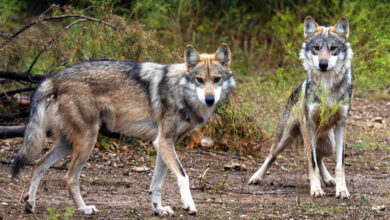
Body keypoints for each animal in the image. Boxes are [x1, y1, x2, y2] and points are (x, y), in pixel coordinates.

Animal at [12, 43, 236, 216]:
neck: (180, 91)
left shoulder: (164, 144)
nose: (210, 99)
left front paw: (158, 209)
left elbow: (157, 184)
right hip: (87, 141)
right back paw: (84, 209)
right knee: (68, 177)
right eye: (200, 80)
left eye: (217, 79)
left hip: (69, 143)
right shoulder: (163, 141)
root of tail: (55, 77)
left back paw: (30, 204)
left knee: (38, 164)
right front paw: (189, 205)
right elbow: (183, 176)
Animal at [250, 17, 354, 199]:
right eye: (316, 48)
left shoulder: (341, 124)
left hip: (330, 144)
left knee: (319, 158)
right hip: (286, 138)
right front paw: (316, 189)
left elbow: (339, 164)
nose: (323, 64)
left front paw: (341, 190)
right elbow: (311, 162)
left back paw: (329, 179)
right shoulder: (309, 125)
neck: (326, 85)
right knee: (272, 155)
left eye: (333, 48)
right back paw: (256, 177)